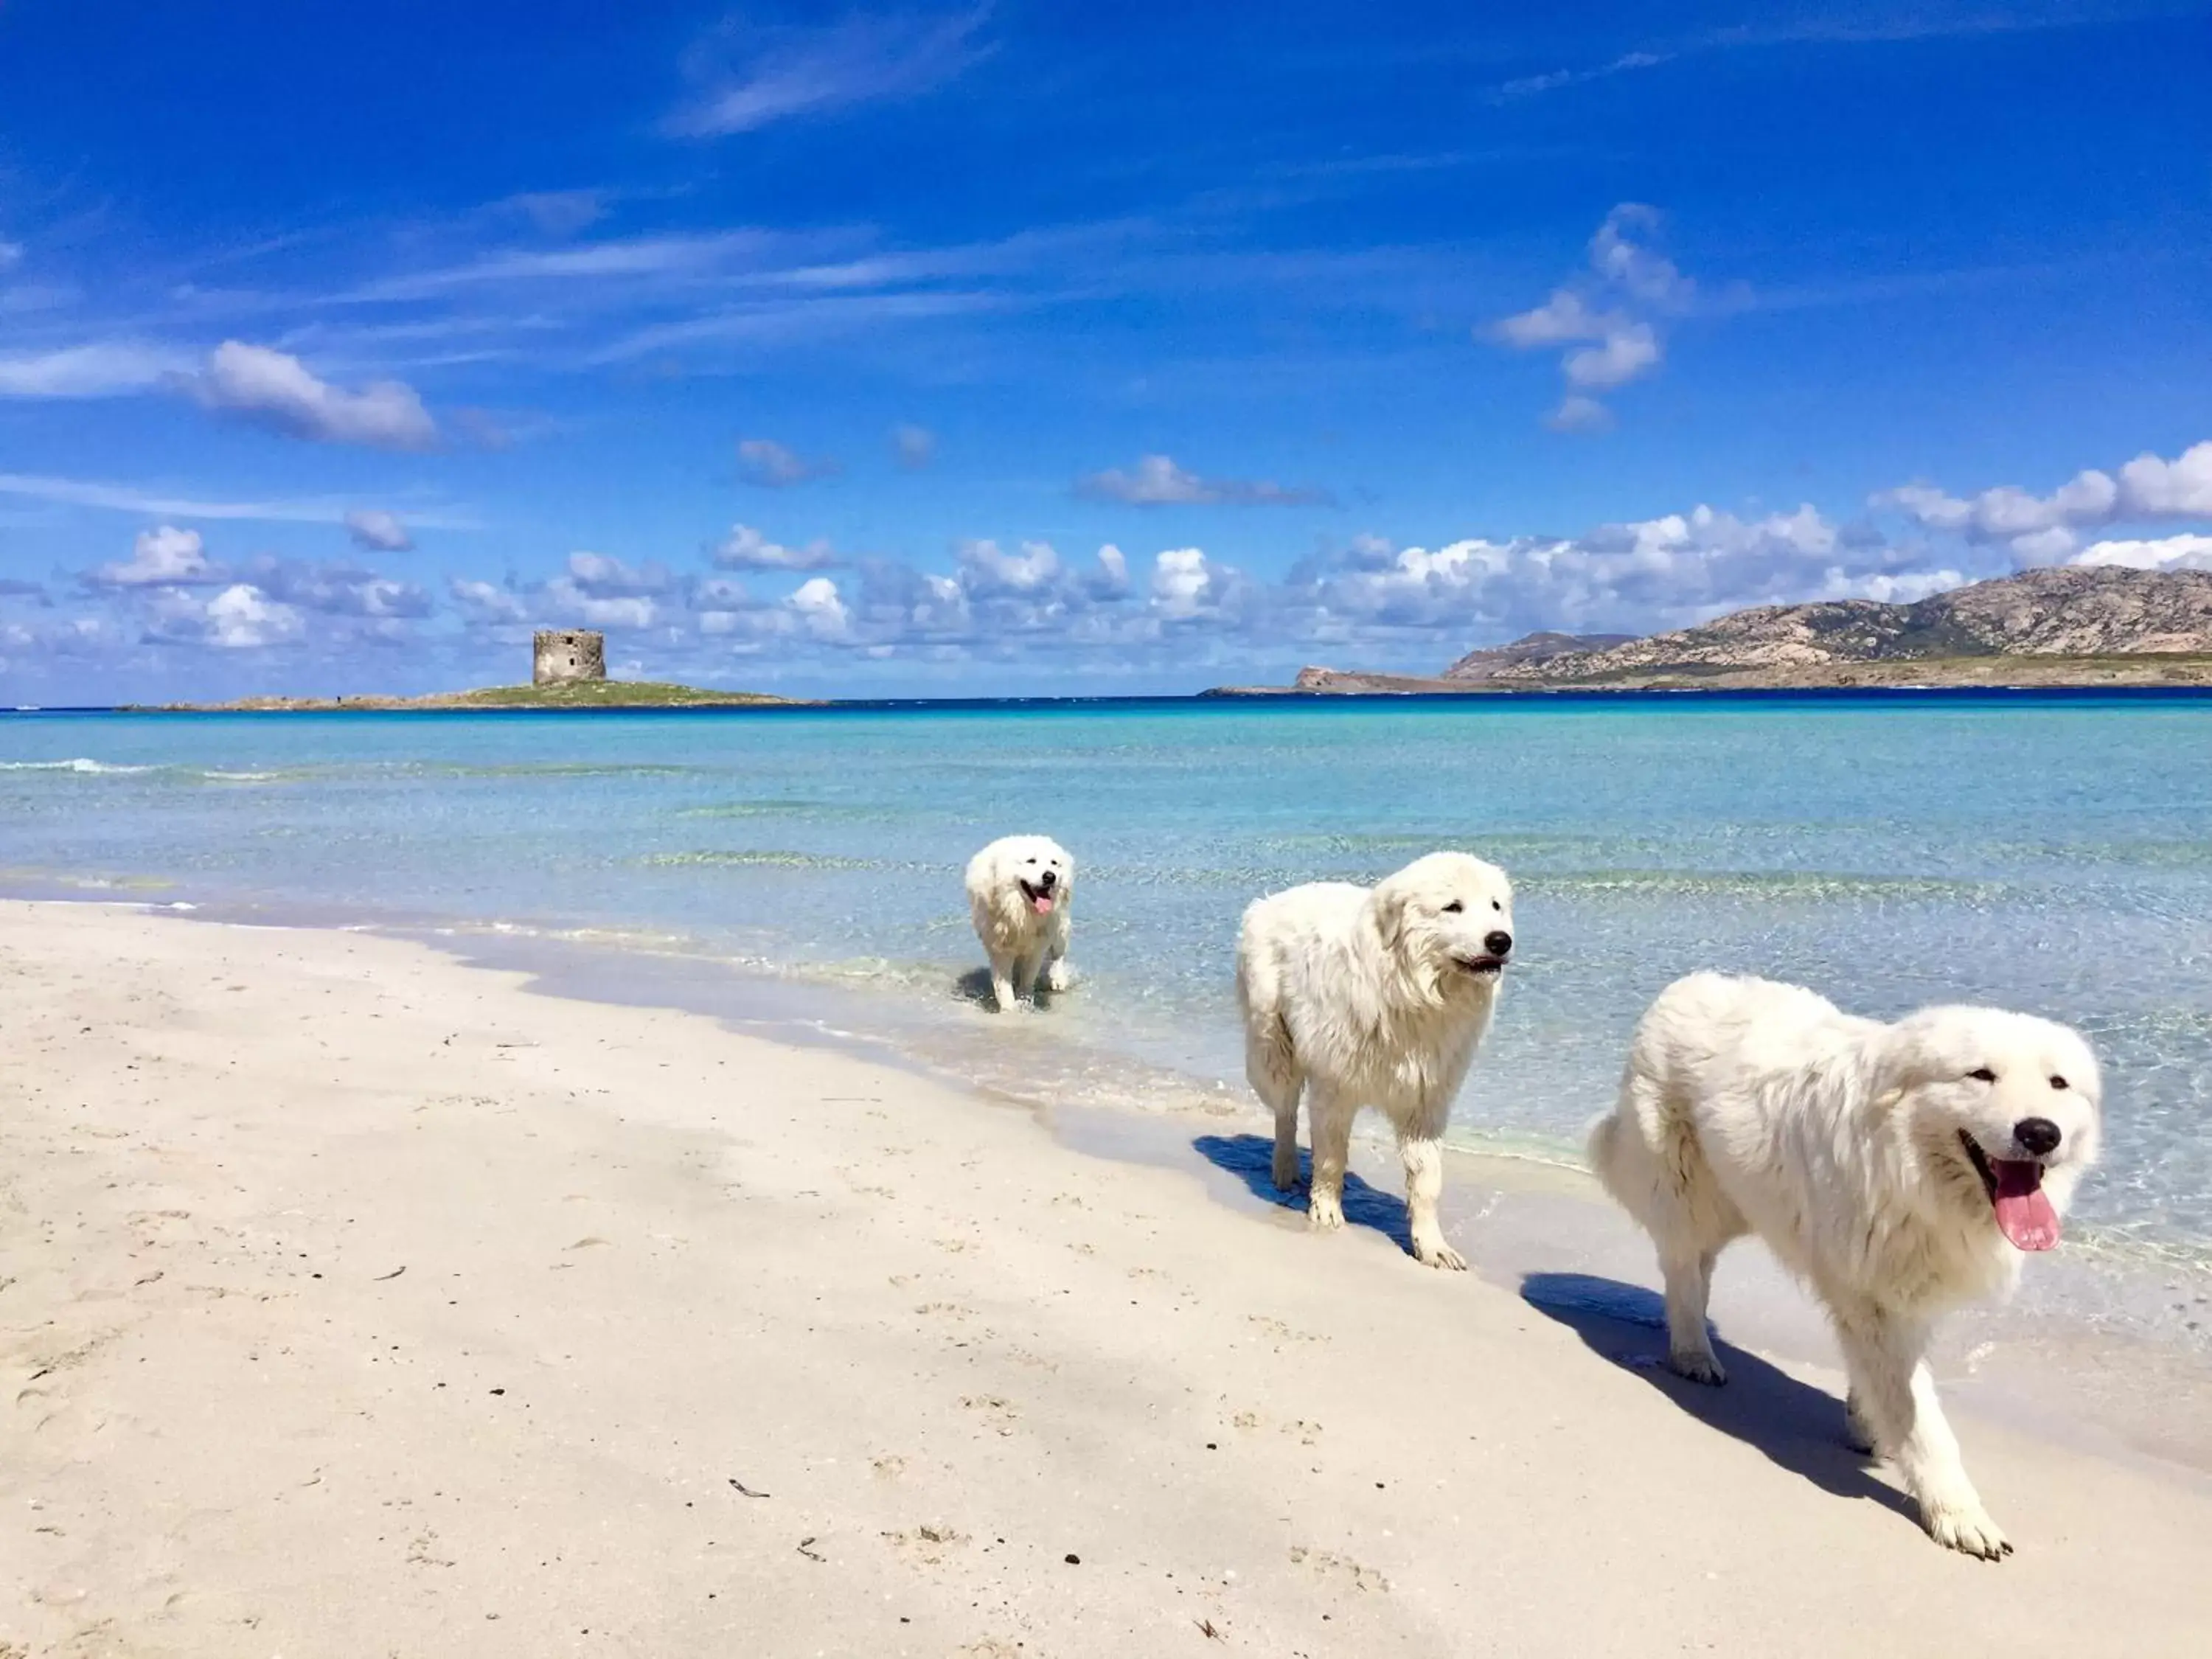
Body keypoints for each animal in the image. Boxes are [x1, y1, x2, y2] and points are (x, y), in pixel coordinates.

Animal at [964, 832, 1075, 1013]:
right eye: (1031, 861)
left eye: (1054, 863)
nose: (1050, 876)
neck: (1022, 913)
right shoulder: (999, 947)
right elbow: (1003, 984)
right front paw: (1010, 1008)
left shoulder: (1037, 947)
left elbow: (1028, 978)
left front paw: (1025, 1002)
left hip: (1059, 925)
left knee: (1058, 953)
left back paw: (1058, 979)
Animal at [1239, 858, 1513, 1274]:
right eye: (1453, 907)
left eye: (1496, 905)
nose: (1501, 940)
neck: (1410, 992)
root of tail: (1268, 901)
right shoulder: (1335, 1084)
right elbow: (1331, 1156)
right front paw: (1326, 1211)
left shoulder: (1426, 1100)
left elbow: (1426, 1181)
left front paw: (1432, 1246)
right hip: (1273, 1044)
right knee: (1285, 1112)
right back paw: (1285, 1172)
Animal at [1584, 973, 2097, 1557]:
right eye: (1981, 1075)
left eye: (2058, 1083)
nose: (2041, 1133)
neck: (1911, 1170)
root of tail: (1689, 982)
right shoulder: (1873, 1299)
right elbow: (1926, 1425)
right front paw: (1959, 1514)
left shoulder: (1906, 1286)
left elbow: (1884, 1386)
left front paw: (1866, 1424)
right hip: (1688, 1191)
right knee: (1682, 1269)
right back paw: (1693, 1353)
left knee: (1699, 1266)